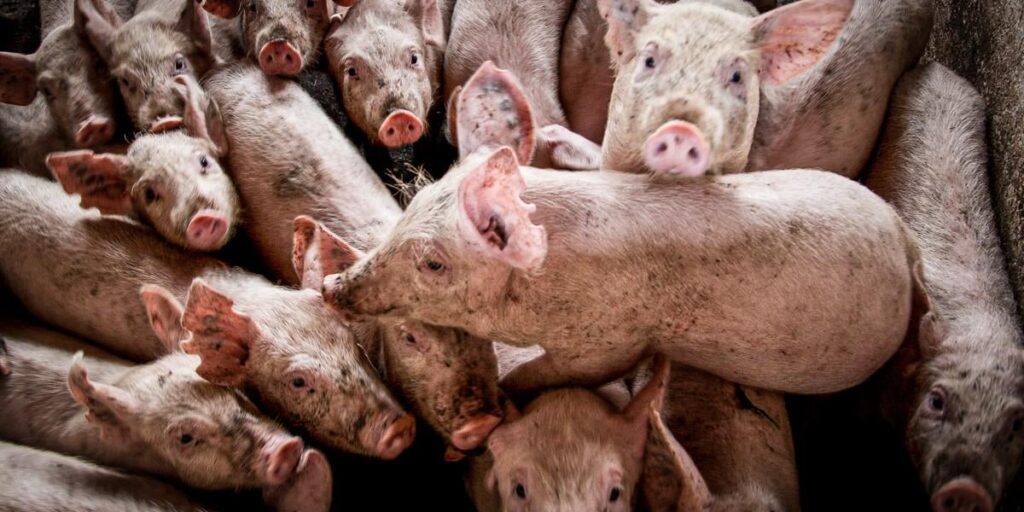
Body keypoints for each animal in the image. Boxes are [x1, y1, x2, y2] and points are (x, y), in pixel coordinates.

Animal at [322, 61, 921, 396]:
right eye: (413, 204)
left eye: (434, 263)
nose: (330, 287)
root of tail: (903, 241)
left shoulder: (611, 340)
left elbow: (559, 373)